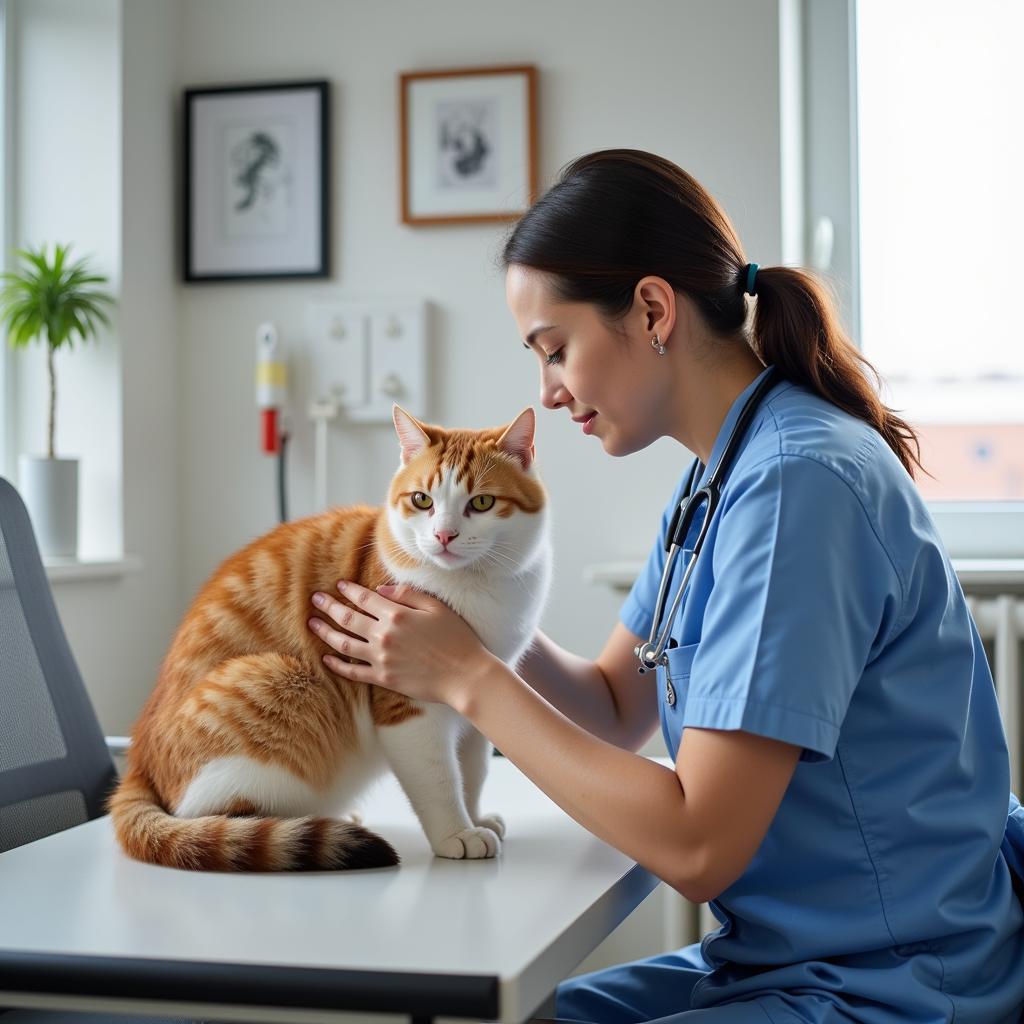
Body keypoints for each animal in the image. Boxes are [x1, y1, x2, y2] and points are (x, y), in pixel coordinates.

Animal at [107, 403, 548, 868]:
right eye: (422, 500)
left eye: (481, 502)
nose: (444, 535)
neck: (472, 589)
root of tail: (139, 760)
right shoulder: (407, 707)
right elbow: (440, 780)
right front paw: (456, 834)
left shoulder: (478, 697)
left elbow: (473, 771)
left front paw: (476, 817)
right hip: (280, 681)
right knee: (211, 817)